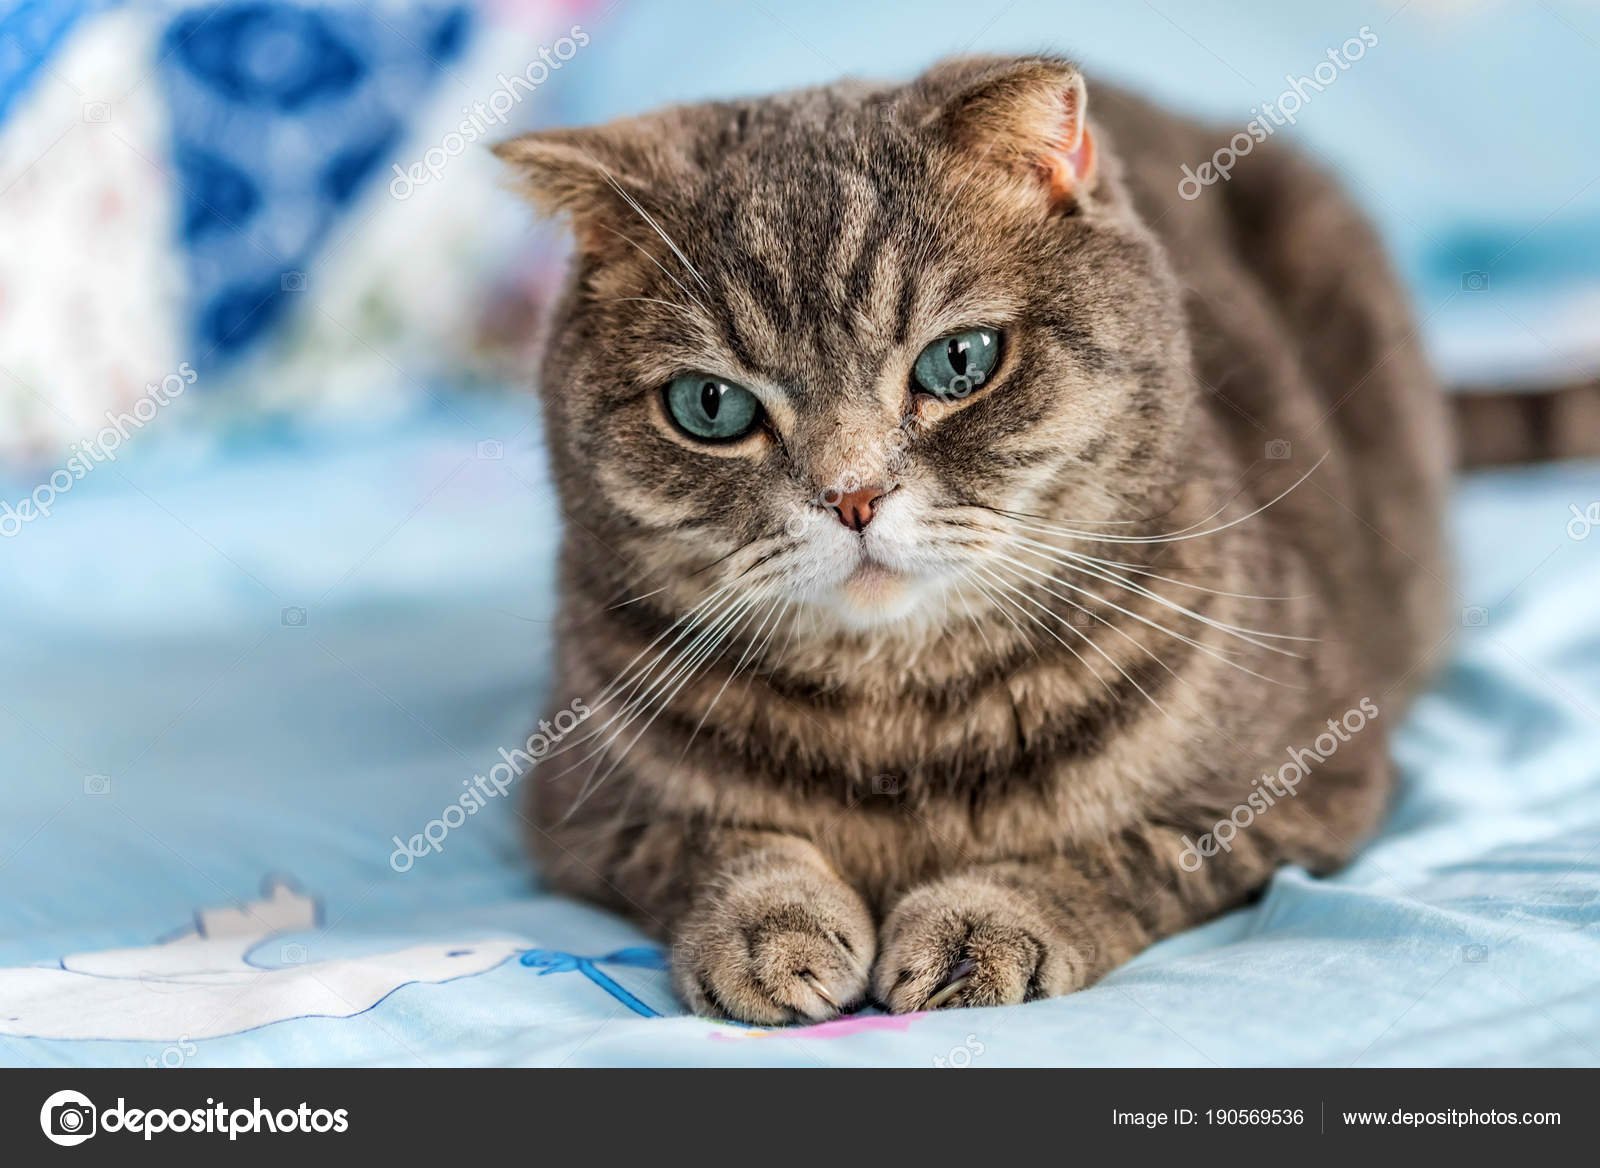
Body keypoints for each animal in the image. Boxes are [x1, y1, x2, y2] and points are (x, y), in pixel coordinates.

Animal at [492, 54, 1593, 1017]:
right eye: (710, 405)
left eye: (959, 361)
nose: (851, 495)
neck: (897, 722)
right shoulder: (577, 808)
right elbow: (718, 846)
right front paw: (766, 930)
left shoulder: (1312, 779)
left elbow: (1124, 853)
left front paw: (982, 925)